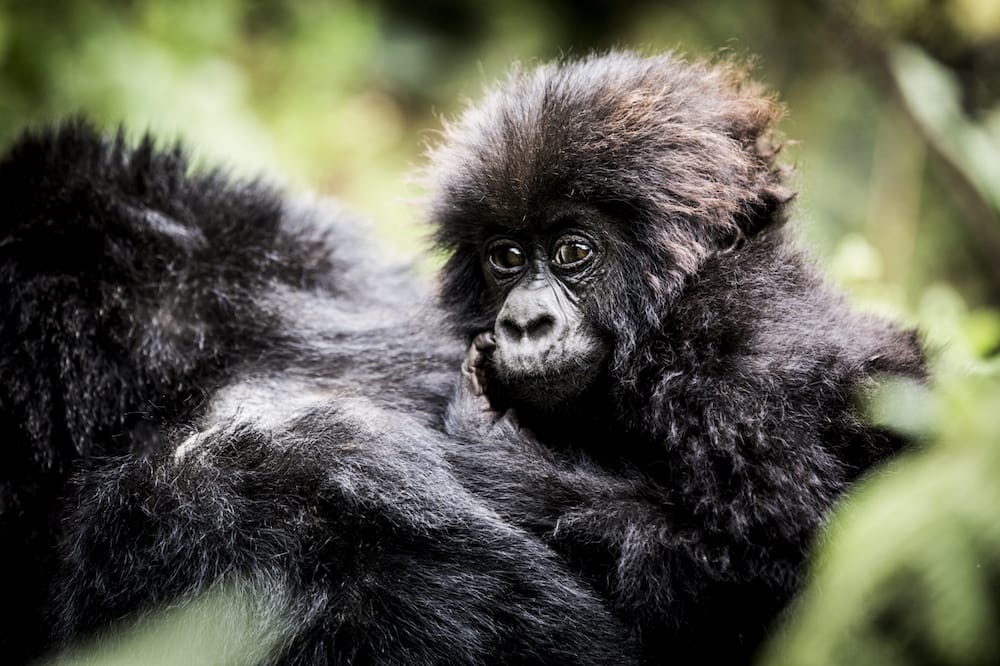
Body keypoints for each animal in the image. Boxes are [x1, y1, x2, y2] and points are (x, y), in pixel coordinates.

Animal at [434, 50, 924, 660]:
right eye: (506, 257)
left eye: (572, 251)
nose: (524, 323)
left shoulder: (741, 380)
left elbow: (760, 570)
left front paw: (493, 446)